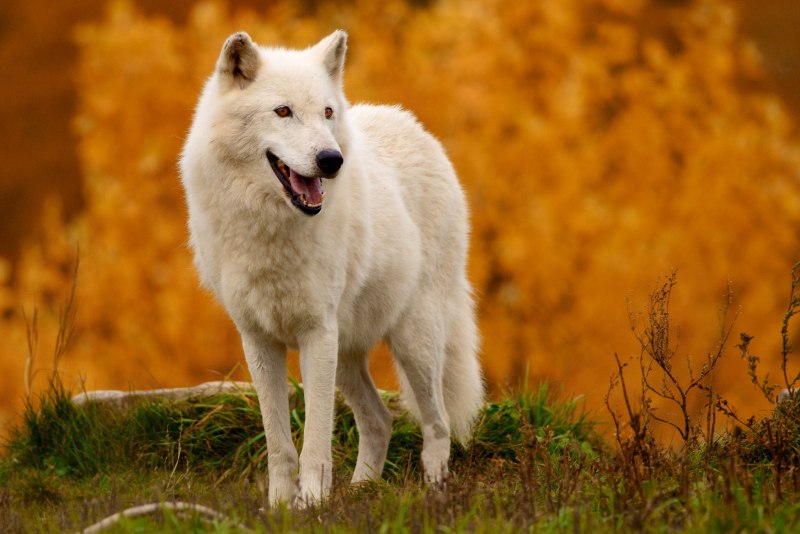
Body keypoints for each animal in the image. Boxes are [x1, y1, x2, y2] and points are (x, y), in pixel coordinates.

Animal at [179, 30, 484, 505]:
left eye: (326, 113)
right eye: (283, 111)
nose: (331, 159)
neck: (271, 228)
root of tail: (414, 125)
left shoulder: (316, 334)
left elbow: (315, 441)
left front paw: (312, 504)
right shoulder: (258, 340)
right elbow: (279, 445)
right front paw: (281, 506)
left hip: (412, 341)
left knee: (437, 423)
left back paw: (434, 493)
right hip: (347, 355)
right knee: (380, 420)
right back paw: (361, 492)